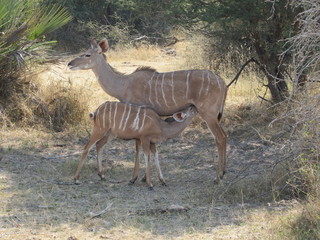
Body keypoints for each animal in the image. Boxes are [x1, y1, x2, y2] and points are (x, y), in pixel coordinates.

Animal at [67, 39, 228, 182]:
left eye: (87, 54)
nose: (70, 64)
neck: (123, 84)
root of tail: (222, 82)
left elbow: (138, 147)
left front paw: (137, 178)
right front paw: (144, 178)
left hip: (208, 114)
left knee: (219, 137)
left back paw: (218, 177)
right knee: (224, 135)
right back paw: (223, 172)